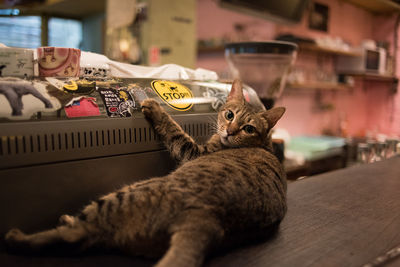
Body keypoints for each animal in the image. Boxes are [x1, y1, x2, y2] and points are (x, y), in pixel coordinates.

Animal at [5, 79, 288, 267]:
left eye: (248, 128)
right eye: (229, 114)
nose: (229, 131)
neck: (261, 144)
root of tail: (205, 219)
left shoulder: (193, 152)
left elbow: (174, 130)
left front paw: (154, 107)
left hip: (124, 195)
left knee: (77, 234)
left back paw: (23, 235)